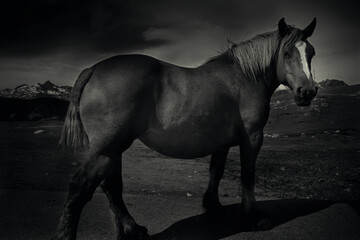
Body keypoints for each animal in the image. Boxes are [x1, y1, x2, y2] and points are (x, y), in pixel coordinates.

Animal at [53, 18, 318, 240]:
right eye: (286, 52)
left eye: (311, 53)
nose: (307, 91)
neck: (244, 76)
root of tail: (92, 70)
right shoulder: (252, 138)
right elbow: (247, 176)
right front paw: (253, 217)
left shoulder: (222, 143)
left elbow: (216, 171)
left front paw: (213, 206)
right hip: (107, 149)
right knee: (80, 189)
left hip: (112, 150)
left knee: (112, 188)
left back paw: (131, 229)